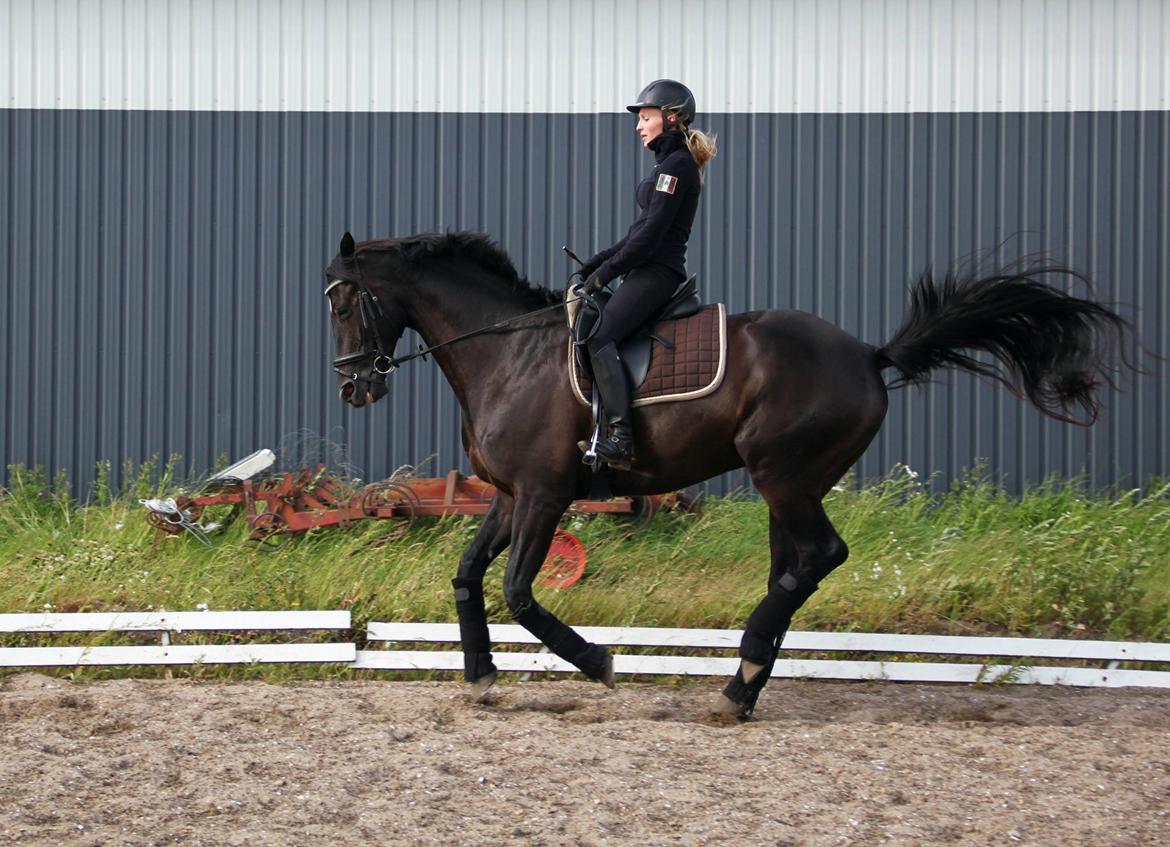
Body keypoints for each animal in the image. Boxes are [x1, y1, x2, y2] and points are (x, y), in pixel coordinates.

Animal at [325, 230, 1127, 715]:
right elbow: (466, 575)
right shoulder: (510, 494)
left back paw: (740, 679)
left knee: (820, 555)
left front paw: (599, 662)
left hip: (784, 475)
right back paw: (743, 683)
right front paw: (482, 677)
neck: (507, 354)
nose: (353, 387)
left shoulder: (546, 496)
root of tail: (869, 356)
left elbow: (521, 592)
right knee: (795, 567)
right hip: (789, 482)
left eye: (340, 301)